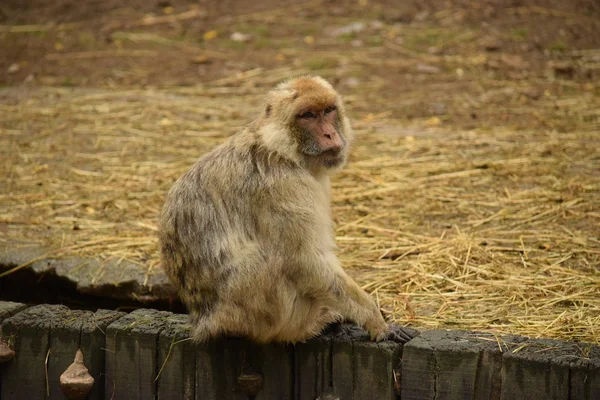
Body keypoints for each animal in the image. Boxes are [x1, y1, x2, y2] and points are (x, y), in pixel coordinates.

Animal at [157, 75, 414, 344]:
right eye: (308, 115)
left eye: (328, 110)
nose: (330, 134)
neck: (282, 149)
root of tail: (204, 322)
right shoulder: (284, 186)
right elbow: (305, 260)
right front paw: (377, 323)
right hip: (257, 314)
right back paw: (314, 324)